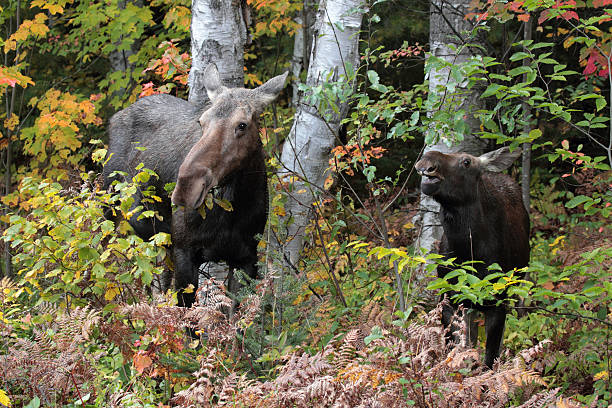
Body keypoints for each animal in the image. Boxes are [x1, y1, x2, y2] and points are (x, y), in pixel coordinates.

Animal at [104, 63, 288, 306]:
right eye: (201, 121)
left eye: (242, 125)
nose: (186, 188)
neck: (233, 211)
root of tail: (116, 116)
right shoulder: (185, 251)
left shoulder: (247, 257)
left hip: (159, 243)